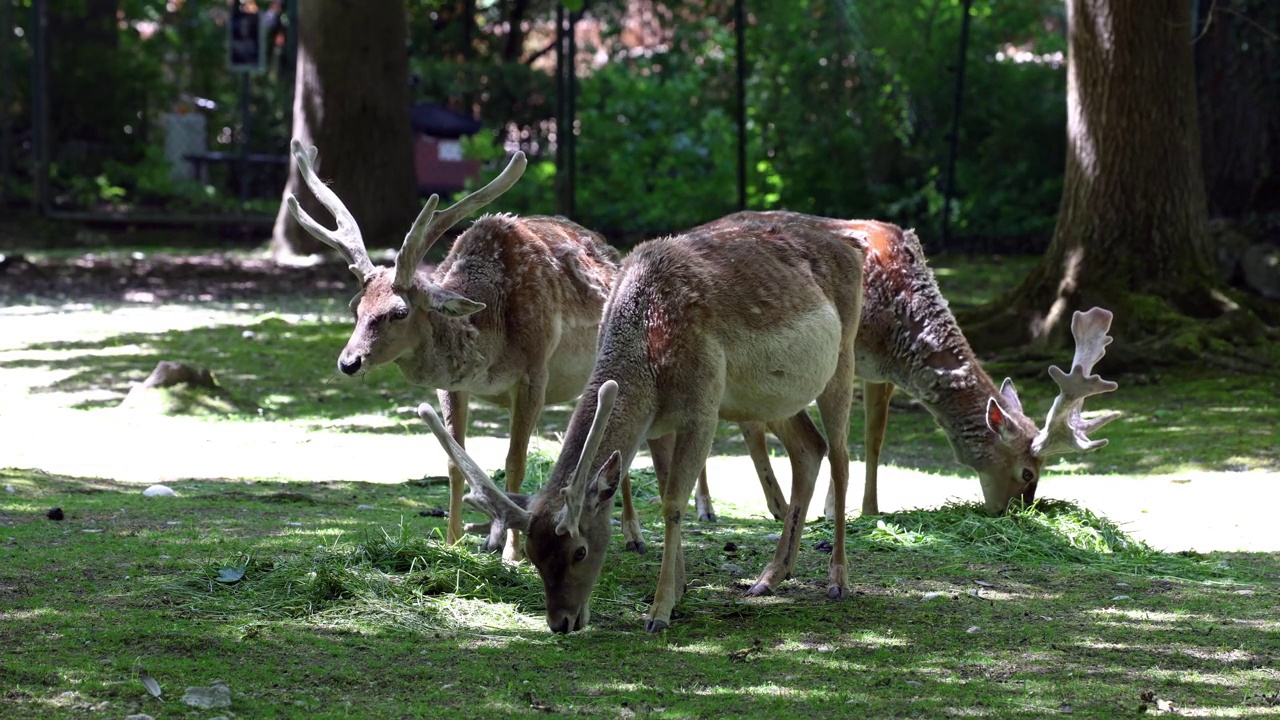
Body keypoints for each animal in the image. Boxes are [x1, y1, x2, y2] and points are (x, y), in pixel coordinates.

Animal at [419, 210, 870, 630]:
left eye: (579, 550)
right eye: (532, 554)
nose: (560, 622)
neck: (649, 354)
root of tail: (852, 247)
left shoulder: (703, 405)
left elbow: (672, 503)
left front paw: (660, 610)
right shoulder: (661, 422)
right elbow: (665, 485)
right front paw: (682, 586)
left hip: (844, 357)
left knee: (842, 457)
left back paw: (839, 580)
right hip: (773, 399)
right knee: (809, 448)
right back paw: (770, 577)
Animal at [670, 212, 1121, 520]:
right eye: (1028, 472)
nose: (1014, 512)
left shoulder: (880, 371)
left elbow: (874, 438)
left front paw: (867, 508)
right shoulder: (850, 358)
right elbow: (847, 437)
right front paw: (836, 510)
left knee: (744, 421)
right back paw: (709, 508)